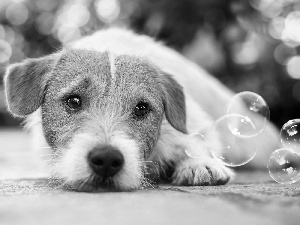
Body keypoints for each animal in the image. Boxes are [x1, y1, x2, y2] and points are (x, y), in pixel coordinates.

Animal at [2, 27, 282, 191]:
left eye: (141, 108)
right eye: (73, 101)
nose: (106, 159)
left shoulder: (193, 123)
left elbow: (196, 140)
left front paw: (199, 164)